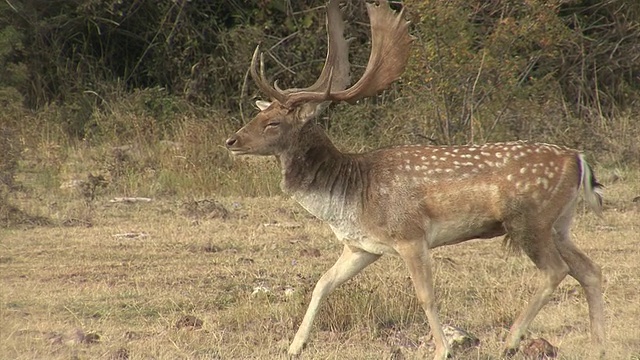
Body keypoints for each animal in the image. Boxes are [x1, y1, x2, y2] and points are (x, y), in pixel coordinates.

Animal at [225, 1, 604, 358]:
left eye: (273, 123)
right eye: (260, 114)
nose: (232, 140)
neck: (351, 195)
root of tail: (578, 159)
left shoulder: (410, 235)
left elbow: (426, 296)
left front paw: (443, 349)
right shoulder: (362, 247)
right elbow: (323, 282)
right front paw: (294, 346)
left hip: (528, 219)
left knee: (555, 270)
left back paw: (511, 341)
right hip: (559, 224)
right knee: (589, 268)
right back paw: (598, 345)